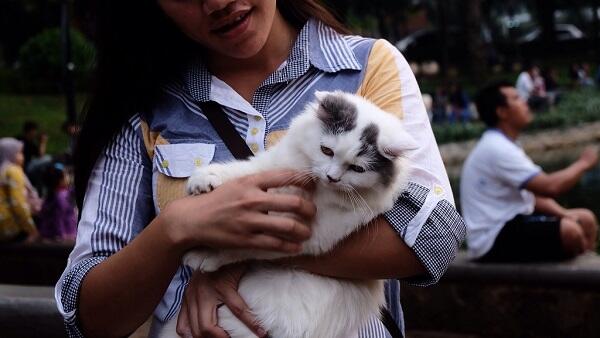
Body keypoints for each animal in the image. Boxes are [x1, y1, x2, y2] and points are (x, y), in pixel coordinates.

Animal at [157, 91, 414, 338]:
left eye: (357, 169)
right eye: (326, 151)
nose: (332, 177)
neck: (314, 188)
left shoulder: (305, 237)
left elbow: (242, 246)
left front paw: (204, 255)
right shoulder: (272, 168)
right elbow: (244, 171)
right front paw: (205, 179)